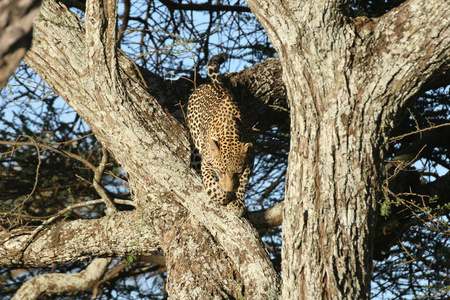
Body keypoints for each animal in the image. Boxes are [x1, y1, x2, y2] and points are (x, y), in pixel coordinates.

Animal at [187, 54, 253, 217]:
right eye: (222, 172)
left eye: (238, 172)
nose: (229, 188)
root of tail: (210, 85)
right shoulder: (207, 162)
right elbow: (212, 184)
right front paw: (224, 195)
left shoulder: (250, 159)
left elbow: (243, 184)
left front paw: (238, 202)